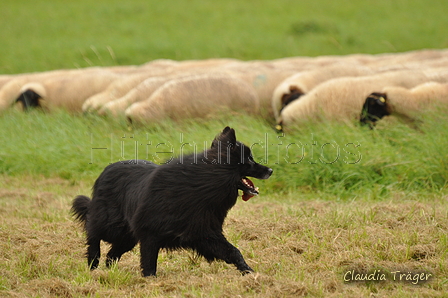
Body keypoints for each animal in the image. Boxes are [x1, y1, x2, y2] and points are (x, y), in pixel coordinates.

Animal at [72, 126, 272, 278]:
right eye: (249, 159)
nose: (270, 170)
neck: (201, 185)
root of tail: (106, 170)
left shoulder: (205, 234)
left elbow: (233, 251)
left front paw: (249, 272)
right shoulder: (150, 235)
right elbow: (149, 263)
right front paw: (150, 281)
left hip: (127, 237)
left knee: (112, 254)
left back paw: (108, 272)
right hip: (113, 227)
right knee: (93, 233)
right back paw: (93, 264)